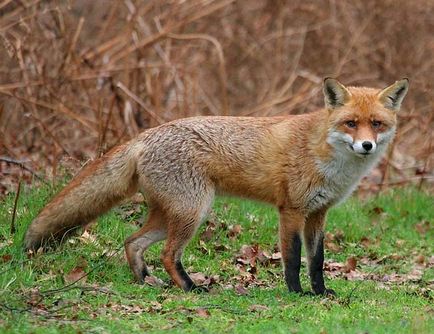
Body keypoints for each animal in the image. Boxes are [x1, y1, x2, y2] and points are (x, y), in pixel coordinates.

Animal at [23, 78, 408, 294]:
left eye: (376, 124)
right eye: (350, 123)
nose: (366, 146)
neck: (328, 157)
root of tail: (145, 135)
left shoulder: (318, 214)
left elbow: (317, 261)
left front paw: (321, 294)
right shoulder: (292, 210)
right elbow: (293, 259)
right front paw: (297, 294)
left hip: (172, 213)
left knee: (132, 242)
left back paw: (145, 281)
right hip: (194, 211)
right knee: (168, 254)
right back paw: (191, 288)